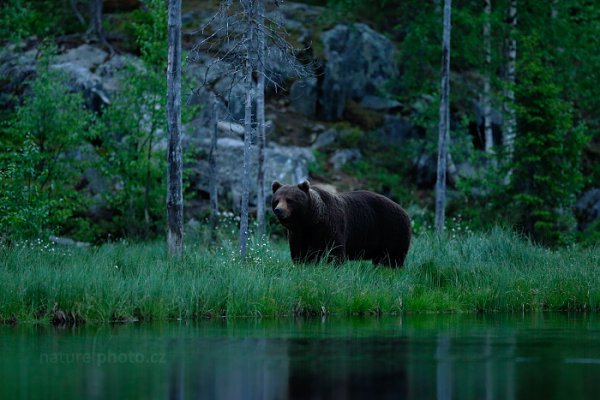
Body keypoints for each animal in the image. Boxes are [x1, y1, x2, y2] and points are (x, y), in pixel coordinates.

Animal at [274, 180, 410, 268]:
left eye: (289, 200)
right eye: (276, 200)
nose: (278, 210)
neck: (310, 221)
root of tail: (403, 210)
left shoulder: (331, 226)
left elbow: (335, 251)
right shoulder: (298, 233)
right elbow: (299, 252)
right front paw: (302, 264)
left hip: (391, 229)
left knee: (393, 257)